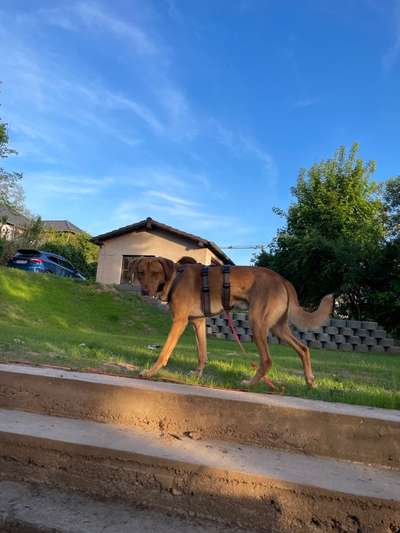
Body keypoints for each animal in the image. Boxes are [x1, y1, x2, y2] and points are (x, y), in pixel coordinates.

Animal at [130, 256, 332, 386]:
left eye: (155, 273)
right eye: (140, 273)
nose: (145, 291)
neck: (175, 278)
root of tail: (282, 279)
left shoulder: (179, 321)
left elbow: (164, 351)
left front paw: (150, 372)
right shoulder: (198, 322)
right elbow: (202, 353)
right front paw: (197, 375)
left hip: (257, 322)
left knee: (267, 360)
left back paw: (250, 384)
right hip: (278, 327)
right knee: (303, 348)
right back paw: (310, 381)